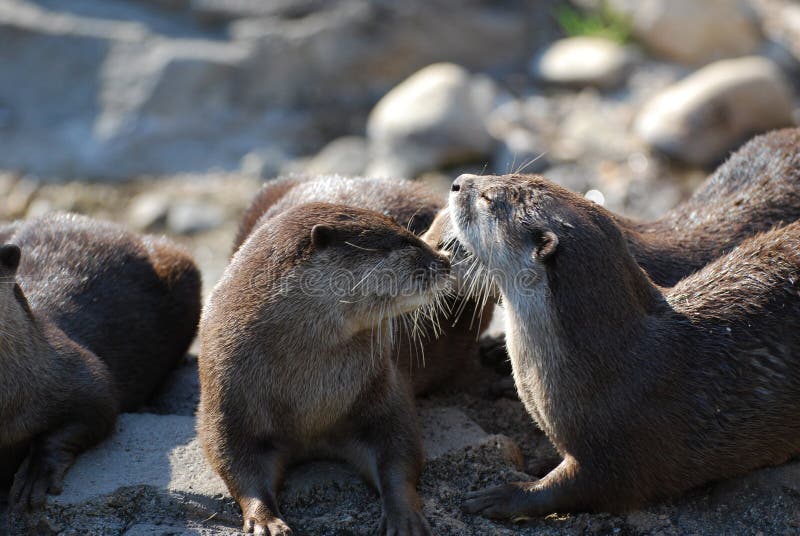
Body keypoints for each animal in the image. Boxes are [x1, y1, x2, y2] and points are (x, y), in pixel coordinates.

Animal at [198, 202, 449, 535]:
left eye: (412, 233)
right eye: (403, 243)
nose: (445, 259)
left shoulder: (383, 383)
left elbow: (399, 447)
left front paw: (404, 515)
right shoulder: (226, 394)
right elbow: (233, 458)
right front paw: (265, 520)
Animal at [449, 173, 800, 518]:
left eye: (488, 199)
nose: (457, 183)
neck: (602, 365)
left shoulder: (620, 446)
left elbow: (588, 486)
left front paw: (503, 496)